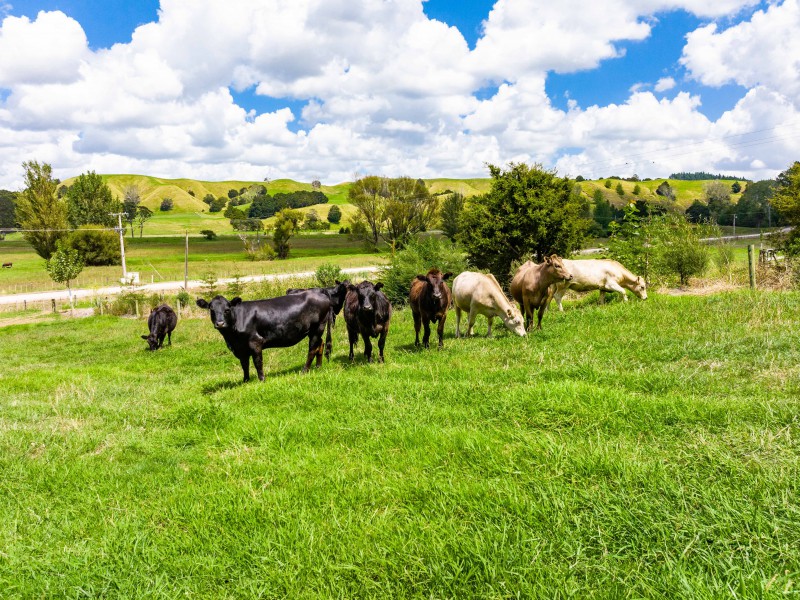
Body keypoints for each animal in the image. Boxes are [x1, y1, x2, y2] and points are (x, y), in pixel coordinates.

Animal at [197, 292, 332, 382]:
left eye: (227, 309)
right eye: (211, 309)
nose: (220, 323)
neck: (231, 338)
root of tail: (320, 293)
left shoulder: (255, 342)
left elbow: (257, 362)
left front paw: (262, 379)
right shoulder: (240, 348)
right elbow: (244, 365)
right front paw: (245, 381)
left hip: (318, 327)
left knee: (312, 349)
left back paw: (305, 370)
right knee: (320, 344)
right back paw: (318, 367)